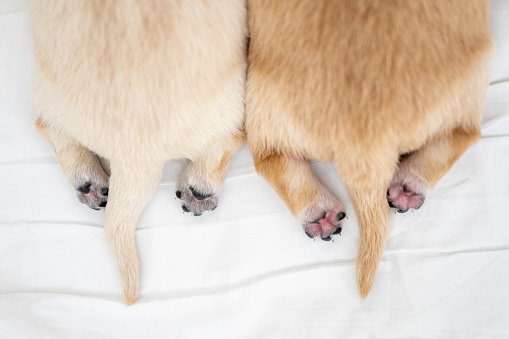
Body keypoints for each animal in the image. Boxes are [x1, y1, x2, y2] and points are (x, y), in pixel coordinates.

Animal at [27, 0, 246, 306]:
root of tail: (134, 155)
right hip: (230, 98)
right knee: (228, 141)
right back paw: (201, 192)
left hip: (48, 85)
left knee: (50, 126)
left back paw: (88, 183)